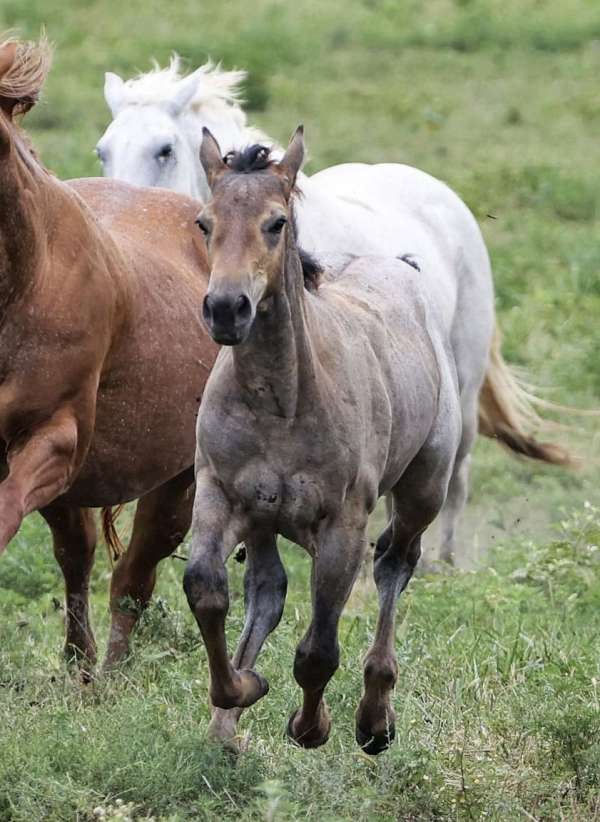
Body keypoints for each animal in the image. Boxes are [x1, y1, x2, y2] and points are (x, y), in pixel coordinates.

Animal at [0, 36, 218, 674]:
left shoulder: (56, 438)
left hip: (176, 478)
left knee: (133, 578)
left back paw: (112, 672)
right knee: (80, 557)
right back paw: (81, 666)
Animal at [97, 57, 571, 563]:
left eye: (164, 150)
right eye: (103, 150)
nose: (124, 215)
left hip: (461, 390)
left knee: (453, 484)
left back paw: (440, 566)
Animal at [184, 128, 466, 753]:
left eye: (277, 222)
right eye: (204, 223)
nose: (226, 308)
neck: (280, 403)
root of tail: (403, 268)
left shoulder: (342, 527)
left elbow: (317, 651)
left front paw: (310, 727)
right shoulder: (221, 494)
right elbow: (206, 588)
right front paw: (240, 689)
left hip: (423, 490)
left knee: (394, 563)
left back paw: (375, 718)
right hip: (264, 519)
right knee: (267, 589)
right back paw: (225, 726)